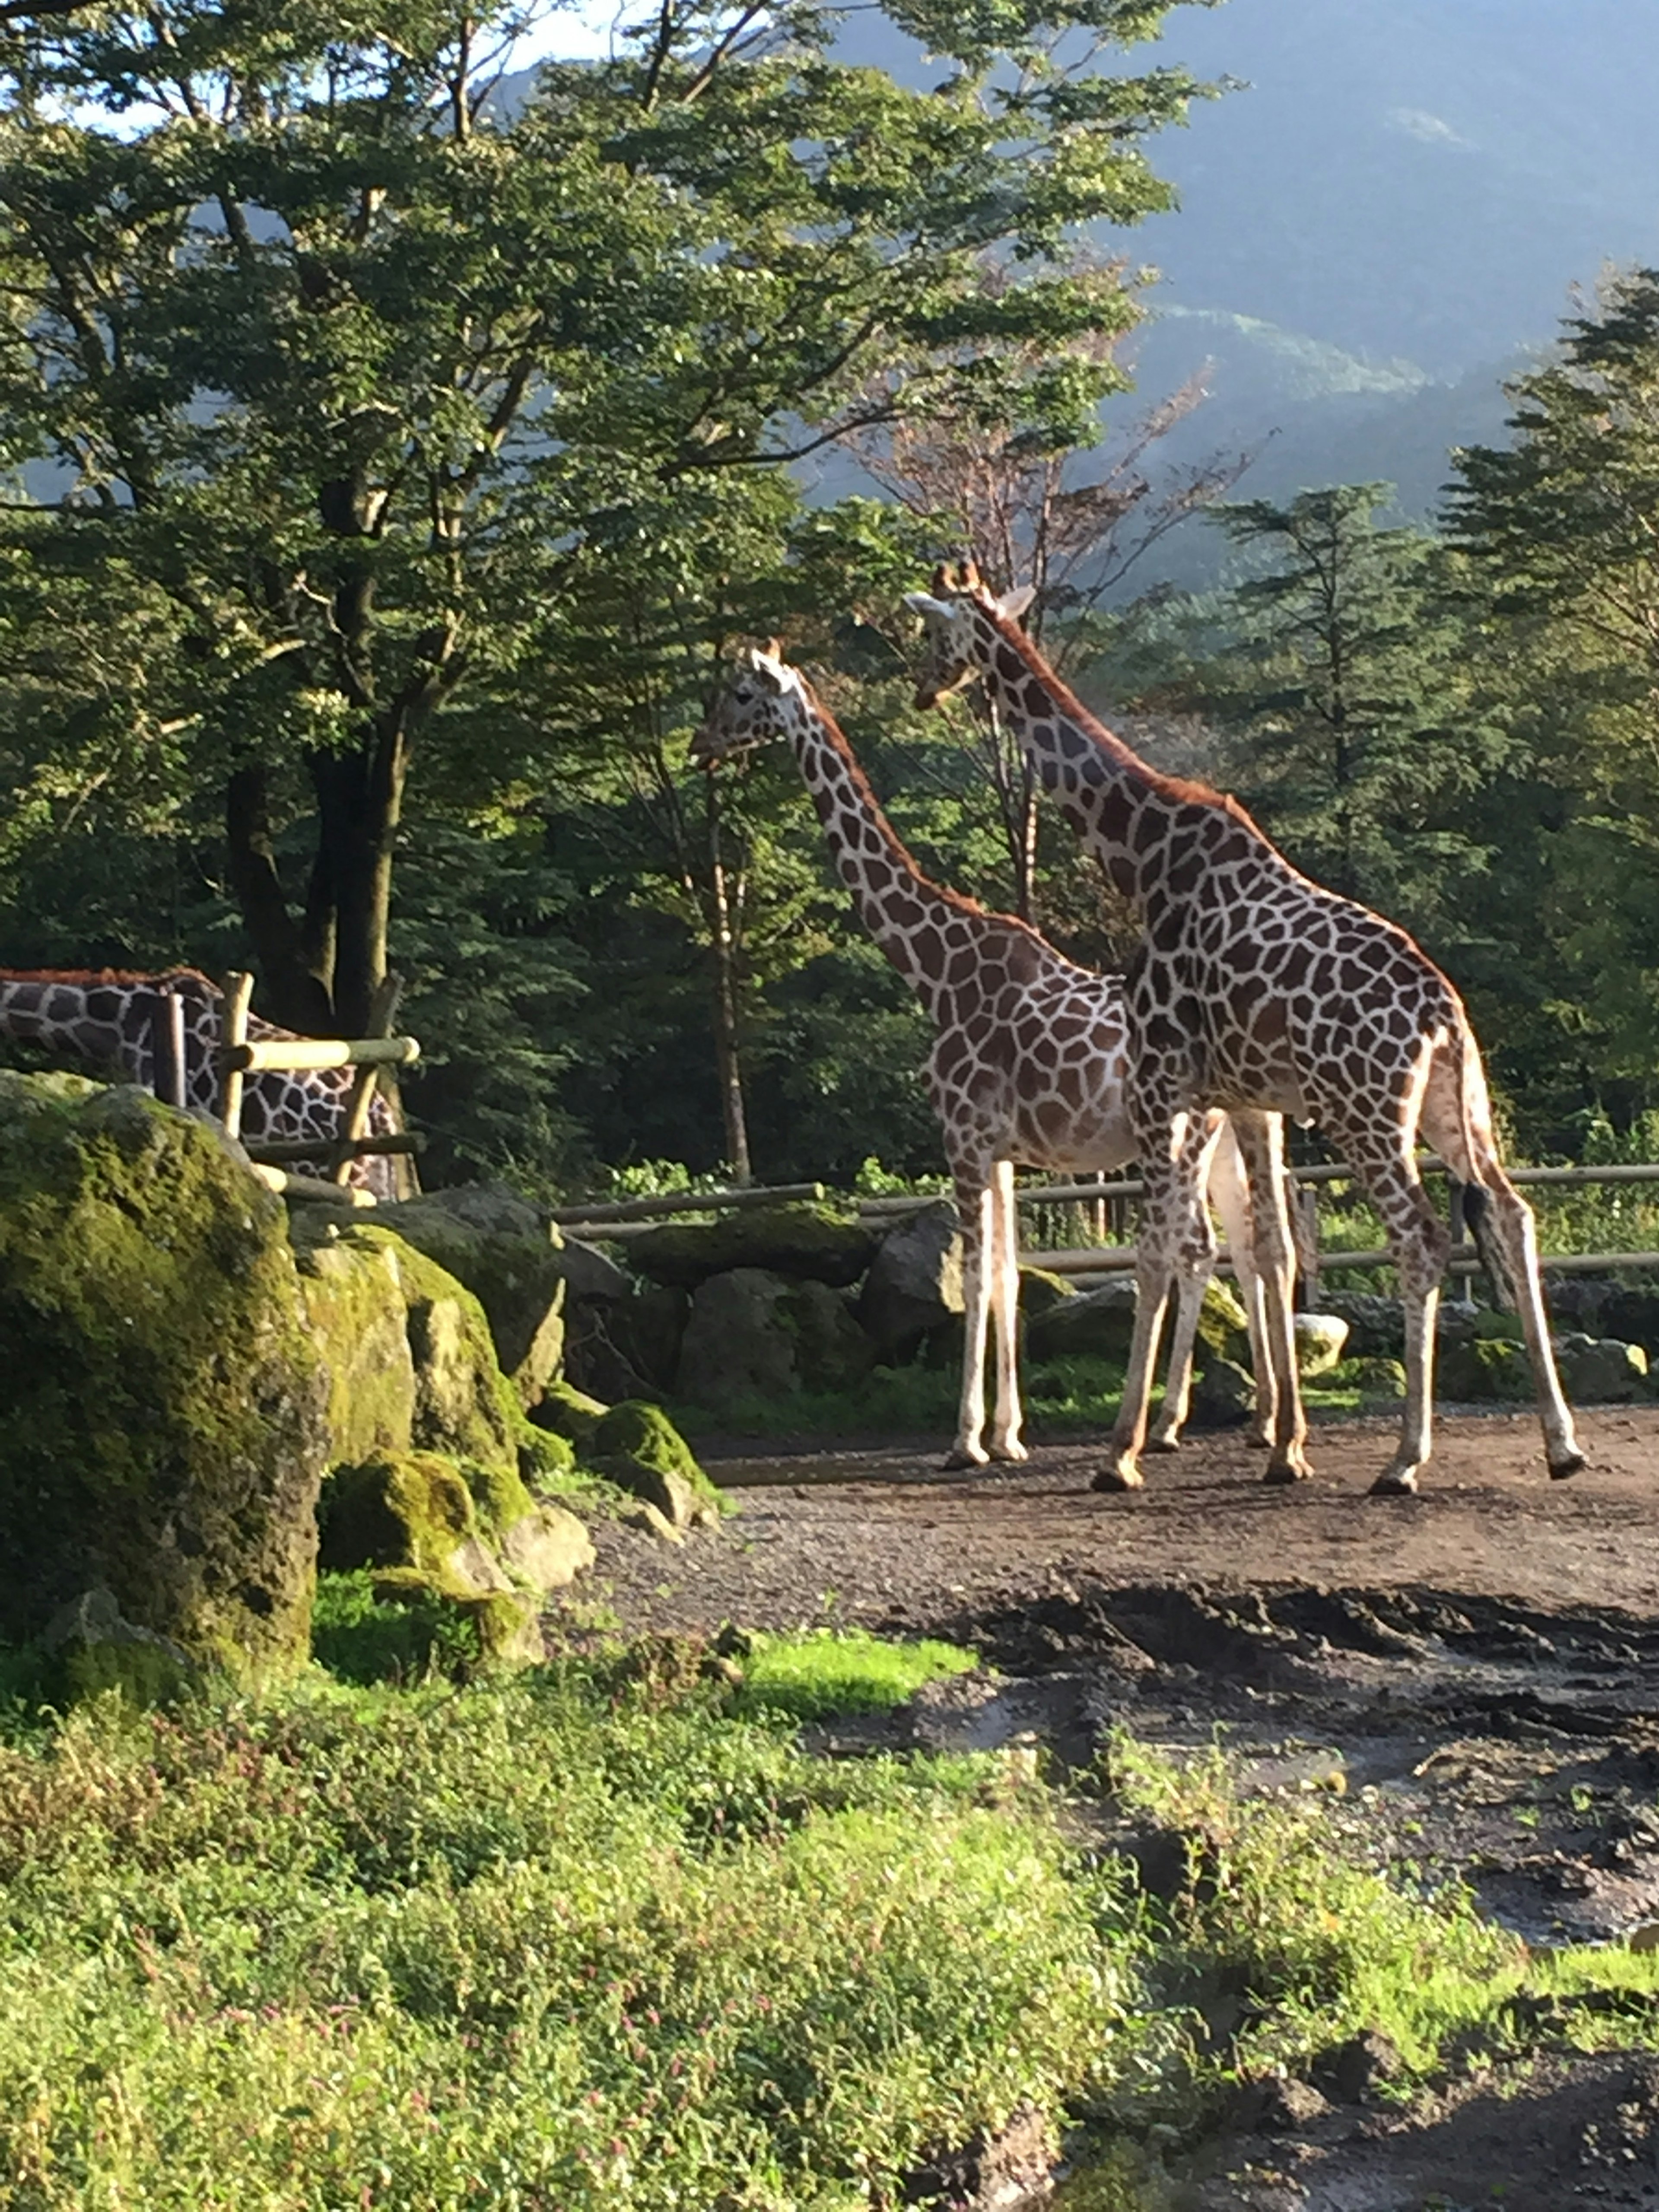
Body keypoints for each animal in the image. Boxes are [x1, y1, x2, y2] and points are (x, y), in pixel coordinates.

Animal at [694, 641, 1309, 1468]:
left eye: (738, 693)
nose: (700, 744)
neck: (932, 967)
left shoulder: (962, 1136)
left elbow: (975, 1276)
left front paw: (965, 1441)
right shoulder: (1006, 1152)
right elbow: (1010, 1278)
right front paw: (1010, 1434)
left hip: (1185, 1138)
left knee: (1198, 1248)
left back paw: (1176, 1425)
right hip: (1233, 1134)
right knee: (1248, 1245)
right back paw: (1257, 1421)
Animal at [902, 566, 1592, 1504]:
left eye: (935, 634)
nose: (923, 688)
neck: (1145, 860)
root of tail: (1440, 1016)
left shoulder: (1162, 1080)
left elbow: (1160, 1251)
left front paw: (1121, 1452)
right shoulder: (1245, 1097)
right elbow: (1267, 1246)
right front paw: (1282, 1446)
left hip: (1366, 1113)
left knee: (1420, 1235)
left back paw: (1406, 1458)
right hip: (1457, 1107)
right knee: (1515, 1216)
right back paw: (1561, 1443)